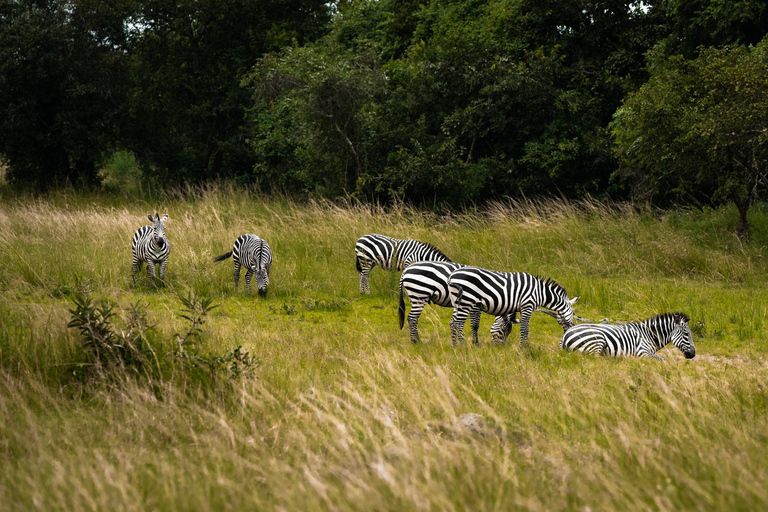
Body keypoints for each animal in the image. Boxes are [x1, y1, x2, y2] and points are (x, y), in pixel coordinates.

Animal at [448, 268, 580, 348]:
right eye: (573, 313)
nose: (568, 332)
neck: (539, 293)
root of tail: (452, 276)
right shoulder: (527, 305)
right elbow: (524, 329)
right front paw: (523, 347)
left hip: (457, 302)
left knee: (453, 322)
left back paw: (455, 346)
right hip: (466, 301)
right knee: (458, 323)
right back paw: (463, 345)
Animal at [560, 312, 696, 360]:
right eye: (686, 334)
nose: (693, 355)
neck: (649, 335)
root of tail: (565, 335)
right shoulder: (643, 351)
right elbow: (664, 360)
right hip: (597, 340)